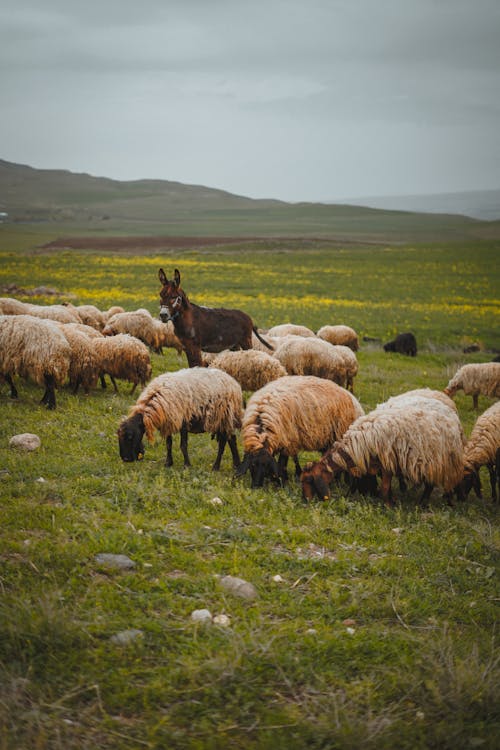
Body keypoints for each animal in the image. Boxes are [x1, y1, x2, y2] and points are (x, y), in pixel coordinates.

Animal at [234, 374, 364, 490]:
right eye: (252, 465)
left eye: (266, 466)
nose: (256, 487)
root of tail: (353, 399)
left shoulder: (288, 440)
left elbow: (282, 463)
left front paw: (282, 482)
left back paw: (342, 482)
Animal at [298, 396, 462, 508]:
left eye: (308, 480)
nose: (306, 500)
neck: (360, 442)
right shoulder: (380, 465)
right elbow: (385, 488)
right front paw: (391, 500)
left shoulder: (387, 462)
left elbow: (384, 489)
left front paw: (388, 506)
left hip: (437, 461)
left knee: (430, 484)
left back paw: (424, 502)